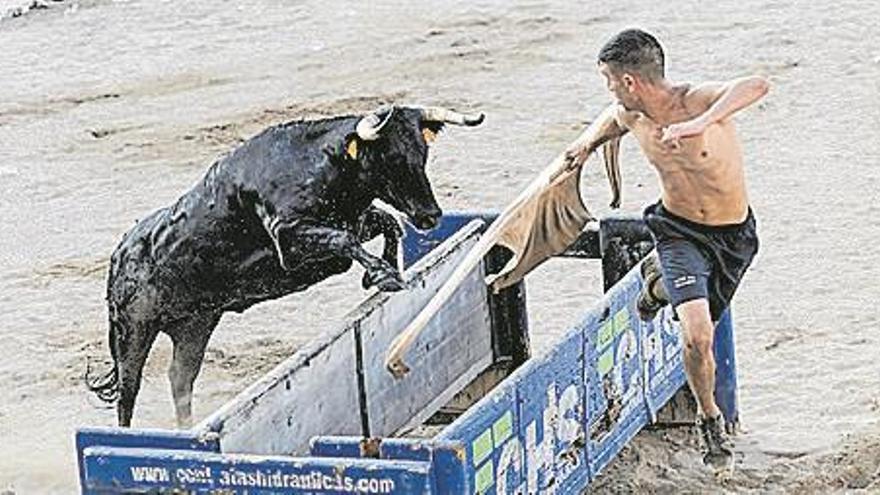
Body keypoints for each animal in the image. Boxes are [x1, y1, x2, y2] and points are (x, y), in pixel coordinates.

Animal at [88, 106, 484, 428]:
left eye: (423, 153)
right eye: (391, 158)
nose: (431, 215)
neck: (320, 165)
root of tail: (119, 255)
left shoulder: (353, 221)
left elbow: (387, 223)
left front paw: (384, 269)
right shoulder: (290, 242)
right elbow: (346, 239)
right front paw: (383, 275)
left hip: (195, 326)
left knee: (180, 380)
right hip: (133, 330)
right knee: (128, 391)